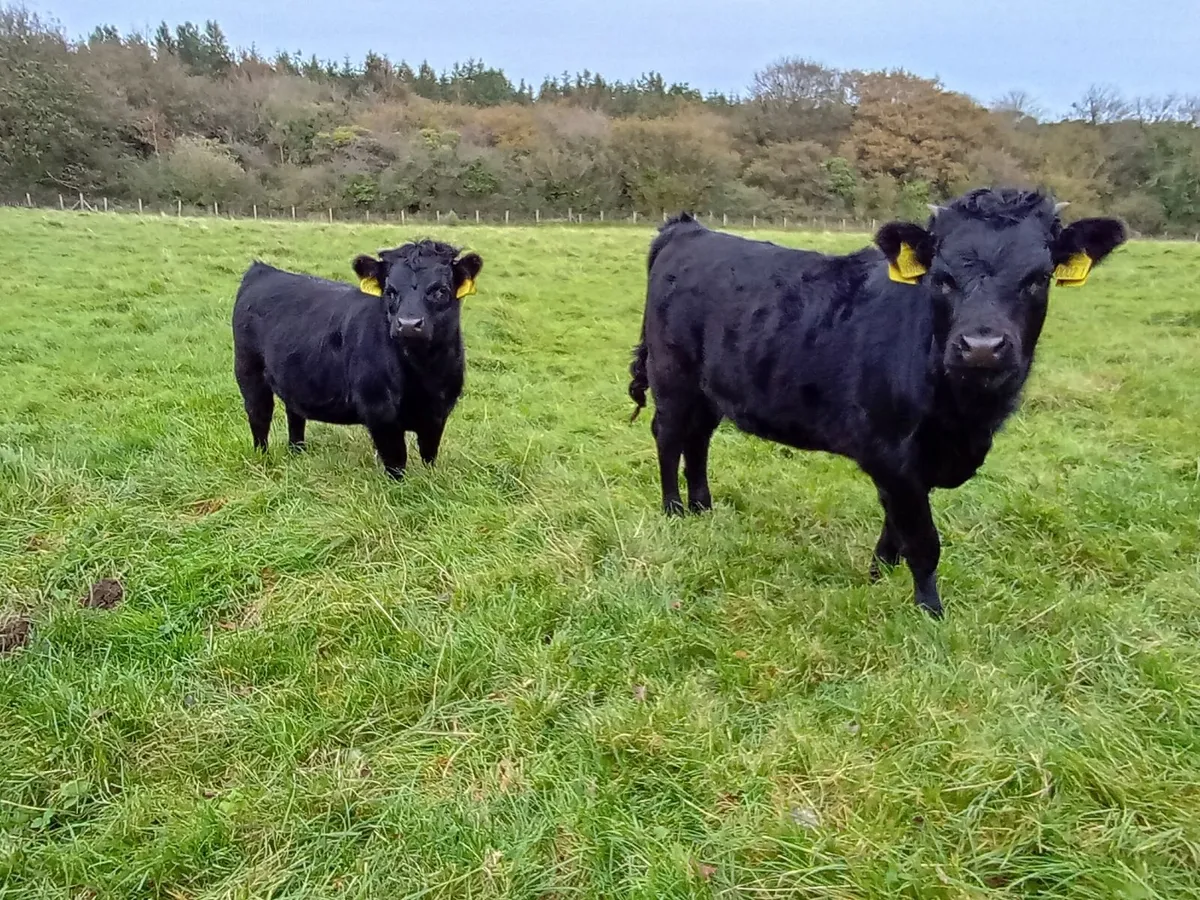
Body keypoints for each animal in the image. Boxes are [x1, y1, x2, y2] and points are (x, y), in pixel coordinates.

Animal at [232, 239, 483, 479]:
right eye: (390, 291)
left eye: (440, 291)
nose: (409, 324)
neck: (424, 373)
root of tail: (263, 270)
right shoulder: (379, 412)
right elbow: (396, 461)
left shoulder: (438, 412)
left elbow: (429, 455)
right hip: (248, 370)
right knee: (259, 414)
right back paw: (263, 458)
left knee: (295, 414)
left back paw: (297, 452)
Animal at [627, 188, 1126, 617]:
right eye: (941, 279)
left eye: (1039, 279)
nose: (982, 347)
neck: (965, 419)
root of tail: (688, 229)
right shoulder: (890, 452)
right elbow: (922, 541)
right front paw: (930, 612)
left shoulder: (913, 463)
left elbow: (895, 531)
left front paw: (876, 578)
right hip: (672, 378)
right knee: (668, 437)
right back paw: (674, 511)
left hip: (708, 390)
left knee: (698, 442)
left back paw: (702, 508)